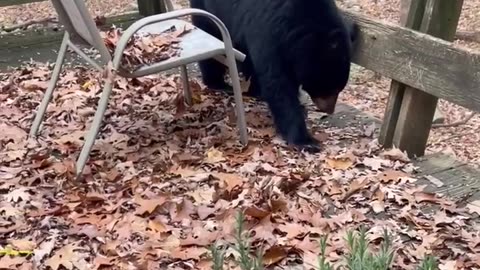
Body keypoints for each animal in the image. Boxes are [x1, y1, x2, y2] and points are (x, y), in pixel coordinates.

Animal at [189, 0, 358, 151]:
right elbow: (278, 85)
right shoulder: (270, 32)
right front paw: (306, 141)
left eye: (338, 89)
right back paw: (218, 83)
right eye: (329, 88)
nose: (329, 110)